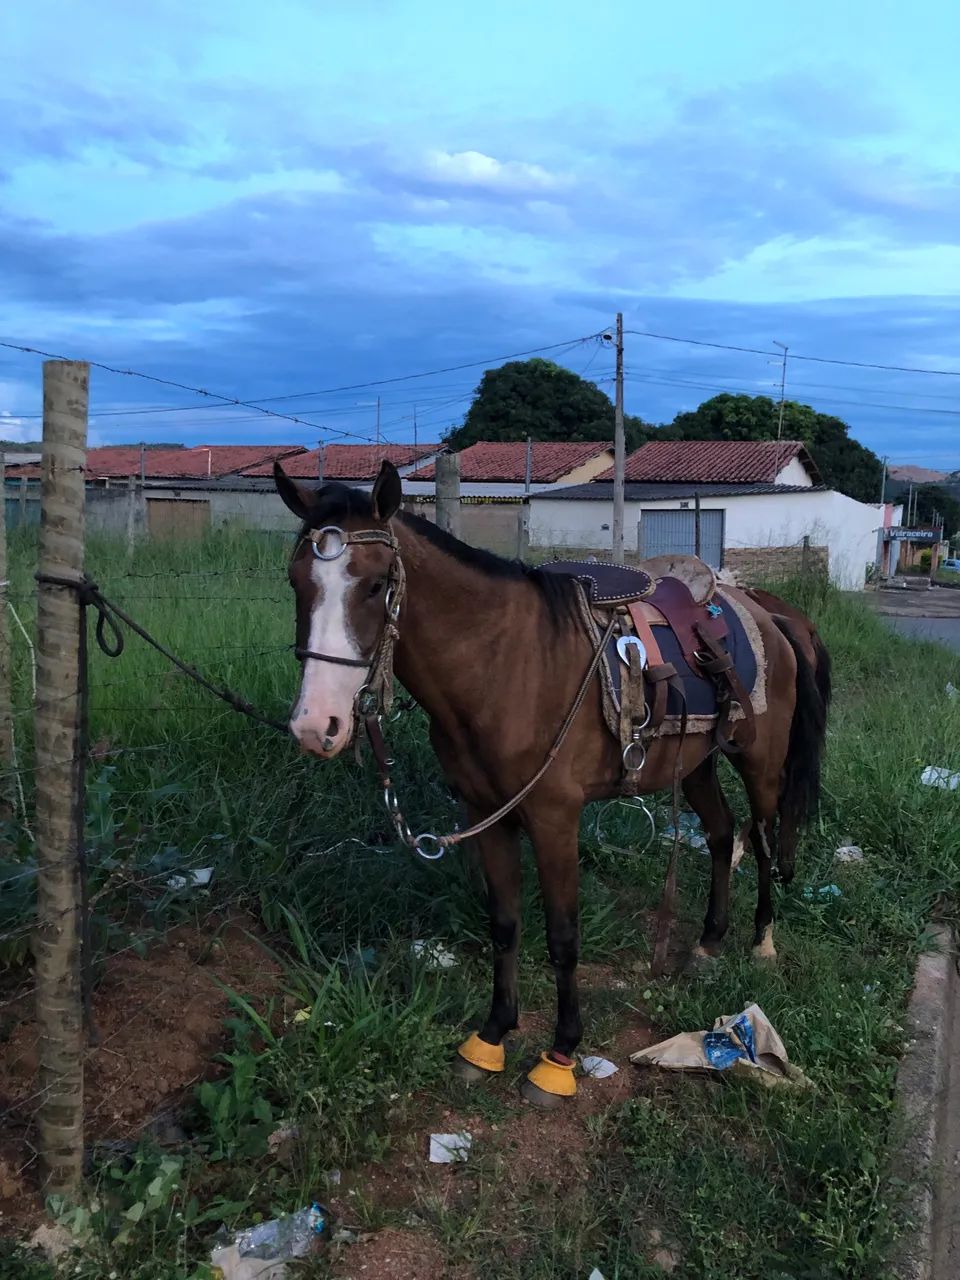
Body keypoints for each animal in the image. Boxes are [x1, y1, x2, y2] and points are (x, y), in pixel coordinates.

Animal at [274, 460, 828, 1107]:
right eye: (296, 582)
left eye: (376, 584)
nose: (316, 726)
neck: (504, 664)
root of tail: (768, 611)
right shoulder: (483, 814)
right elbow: (504, 923)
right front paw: (491, 1038)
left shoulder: (555, 818)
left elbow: (563, 937)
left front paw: (559, 1057)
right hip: (696, 765)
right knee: (719, 835)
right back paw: (707, 942)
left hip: (760, 763)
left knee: (760, 840)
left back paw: (762, 940)